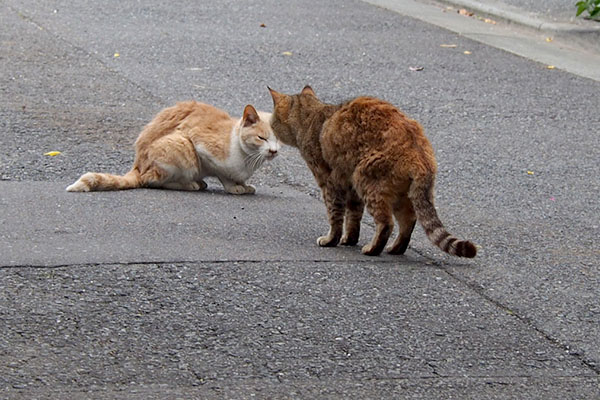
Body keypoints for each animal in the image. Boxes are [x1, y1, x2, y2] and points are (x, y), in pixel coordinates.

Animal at [67, 100, 280, 194]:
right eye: (262, 138)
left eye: (278, 140)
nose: (273, 151)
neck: (248, 160)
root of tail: (138, 165)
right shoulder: (203, 149)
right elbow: (224, 176)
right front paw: (235, 187)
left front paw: (244, 185)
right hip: (180, 146)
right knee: (153, 181)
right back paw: (190, 184)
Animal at [270, 86, 476, 258]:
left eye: (272, 123)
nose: (272, 131)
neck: (312, 116)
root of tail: (419, 154)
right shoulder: (349, 185)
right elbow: (353, 216)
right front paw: (349, 239)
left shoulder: (331, 183)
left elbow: (335, 215)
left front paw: (331, 240)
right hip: (398, 193)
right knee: (409, 221)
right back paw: (396, 248)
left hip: (366, 181)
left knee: (386, 223)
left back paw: (372, 249)